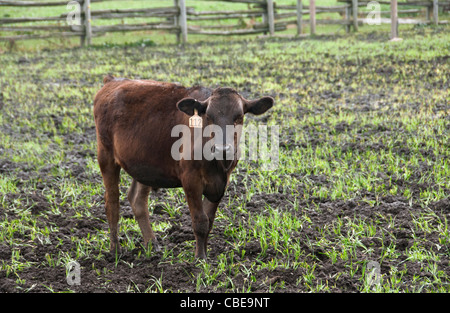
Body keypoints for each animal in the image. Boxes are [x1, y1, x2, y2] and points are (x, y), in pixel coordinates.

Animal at [93, 75, 272, 258]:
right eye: (209, 117)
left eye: (239, 117)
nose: (223, 149)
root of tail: (113, 81)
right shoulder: (190, 179)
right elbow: (200, 221)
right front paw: (200, 258)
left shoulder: (222, 181)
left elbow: (209, 221)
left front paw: (205, 252)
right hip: (106, 155)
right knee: (112, 202)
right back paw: (115, 249)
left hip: (144, 165)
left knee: (137, 200)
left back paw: (152, 244)